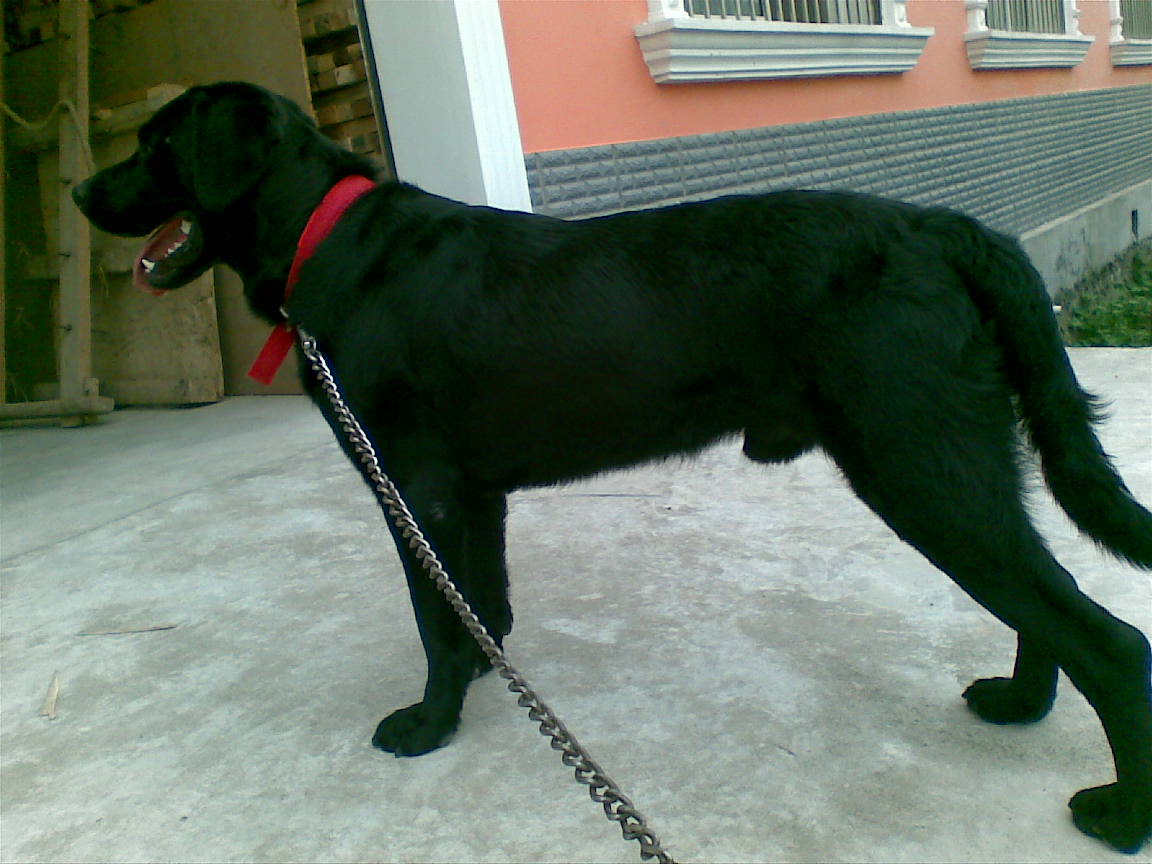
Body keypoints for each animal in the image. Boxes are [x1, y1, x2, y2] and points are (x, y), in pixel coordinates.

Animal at [72, 82, 1151, 853]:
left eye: (156, 144)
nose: (80, 193)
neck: (330, 238)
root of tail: (947, 227)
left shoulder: (414, 488)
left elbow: (433, 616)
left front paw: (429, 723)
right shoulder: (470, 495)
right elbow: (480, 602)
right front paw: (486, 677)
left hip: (920, 466)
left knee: (1107, 637)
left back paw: (1117, 815)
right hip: (957, 470)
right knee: (1048, 602)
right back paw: (1020, 707)